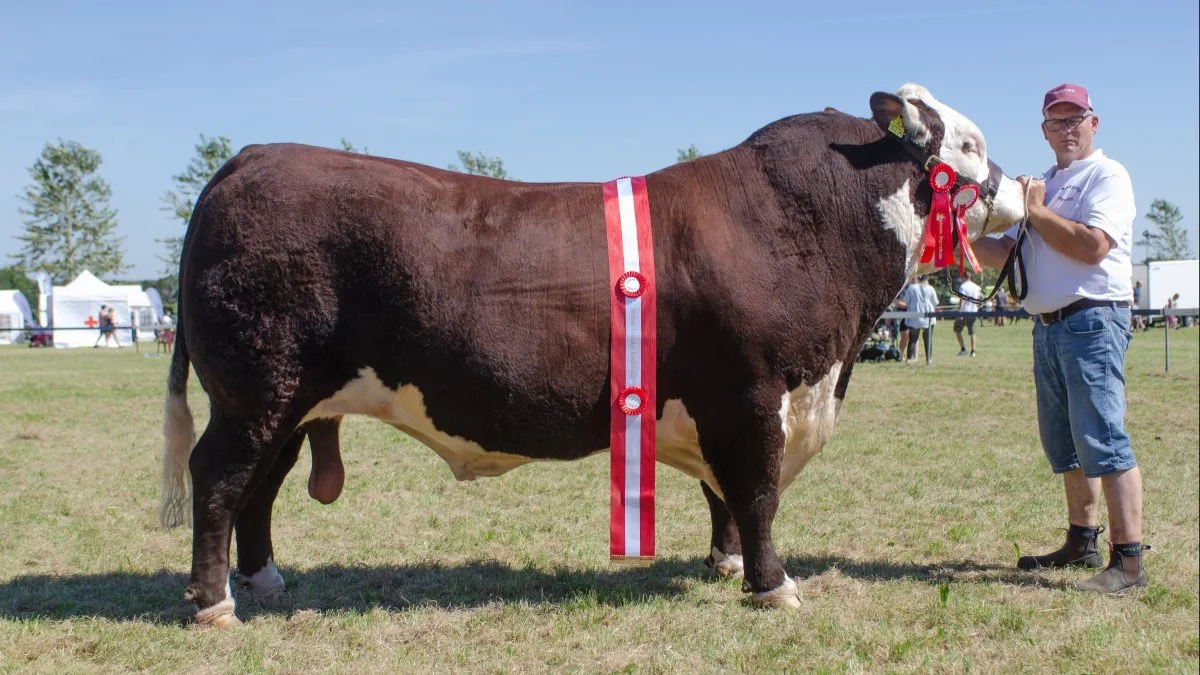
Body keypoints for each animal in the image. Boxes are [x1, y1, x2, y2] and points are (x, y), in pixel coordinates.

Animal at [157, 85, 1022, 624]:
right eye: (972, 143)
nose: (1019, 190)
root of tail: (250, 157)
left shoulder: (719, 403)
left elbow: (722, 496)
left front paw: (724, 565)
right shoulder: (752, 396)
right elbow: (757, 493)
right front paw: (773, 585)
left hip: (287, 401)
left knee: (259, 487)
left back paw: (262, 579)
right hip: (254, 390)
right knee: (219, 477)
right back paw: (213, 603)